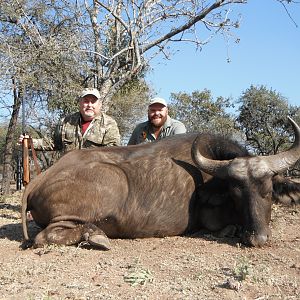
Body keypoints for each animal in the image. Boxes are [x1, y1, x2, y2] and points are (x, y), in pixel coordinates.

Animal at [22, 116, 300, 248]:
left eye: (267, 190)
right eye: (236, 192)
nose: (258, 238)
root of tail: (37, 182)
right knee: (45, 236)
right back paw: (96, 236)